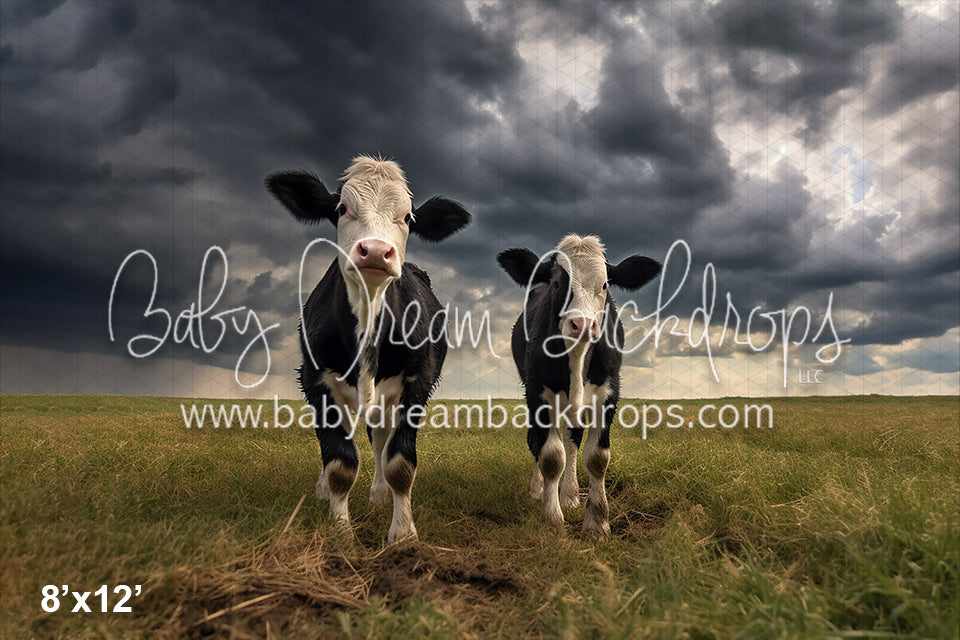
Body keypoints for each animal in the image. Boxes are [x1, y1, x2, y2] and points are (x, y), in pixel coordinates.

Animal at [265, 155, 470, 543]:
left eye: (407, 218)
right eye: (341, 209)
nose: (375, 251)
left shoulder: (417, 382)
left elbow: (399, 462)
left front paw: (403, 534)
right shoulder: (316, 379)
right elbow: (340, 462)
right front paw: (340, 532)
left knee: (379, 441)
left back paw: (379, 494)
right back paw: (324, 490)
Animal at [497, 234, 661, 534]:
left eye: (605, 285)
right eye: (556, 283)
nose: (582, 324)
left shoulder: (608, 393)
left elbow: (596, 457)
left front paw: (597, 522)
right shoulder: (538, 393)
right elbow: (550, 455)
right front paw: (551, 516)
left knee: (572, 439)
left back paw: (570, 494)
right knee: (538, 442)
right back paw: (539, 490)